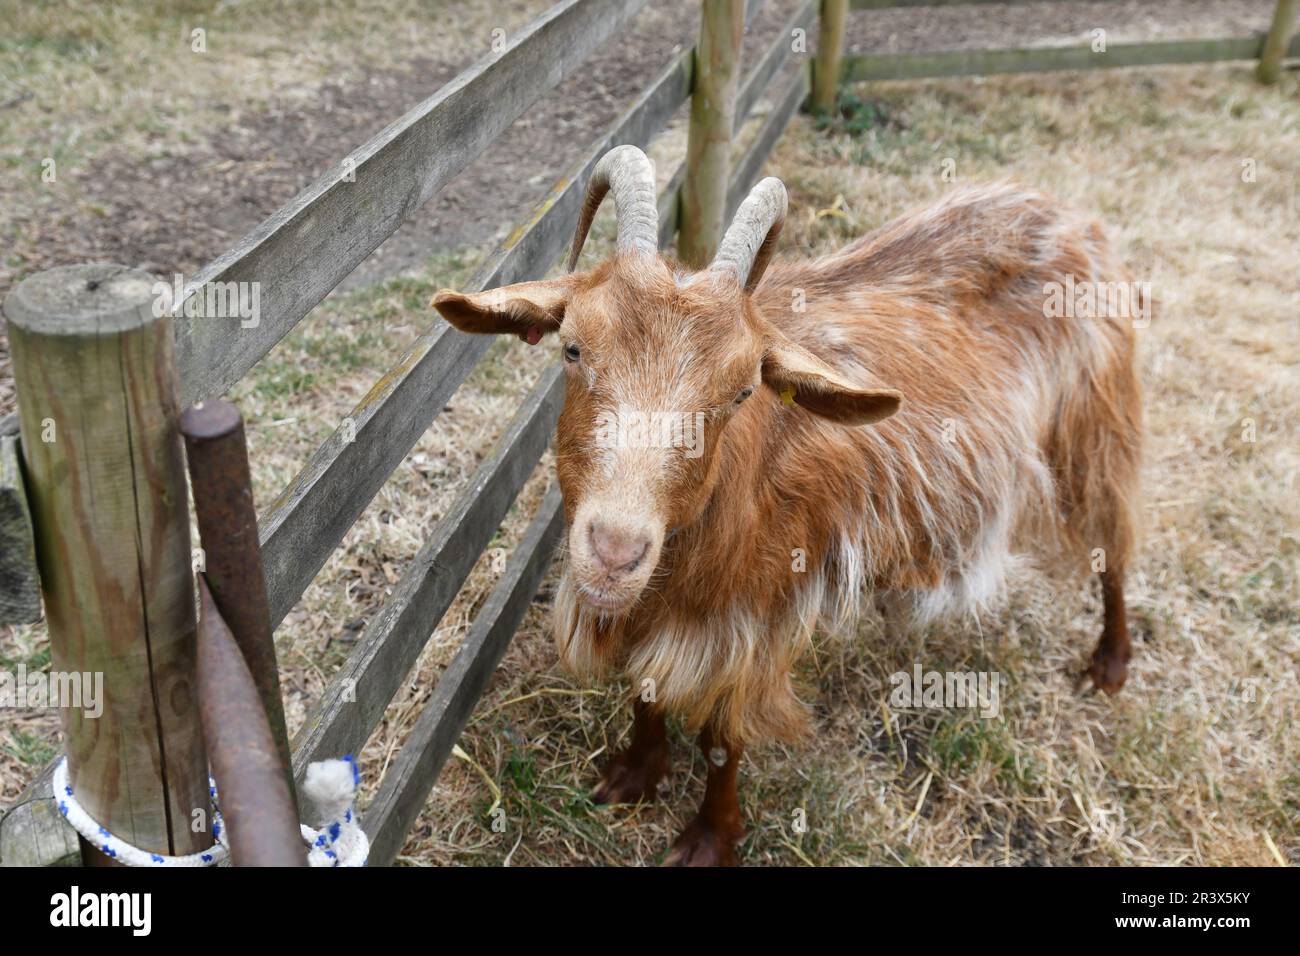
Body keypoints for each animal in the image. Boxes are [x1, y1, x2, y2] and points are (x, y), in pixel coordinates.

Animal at [434, 143, 1138, 868]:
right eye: (572, 349)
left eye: (743, 391)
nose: (613, 553)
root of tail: (1061, 210)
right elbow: (647, 690)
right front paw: (635, 775)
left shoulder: (755, 614)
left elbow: (724, 737)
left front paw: (710, 838)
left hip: (1094, 416)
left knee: (1113, 541)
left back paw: (1109, 663)